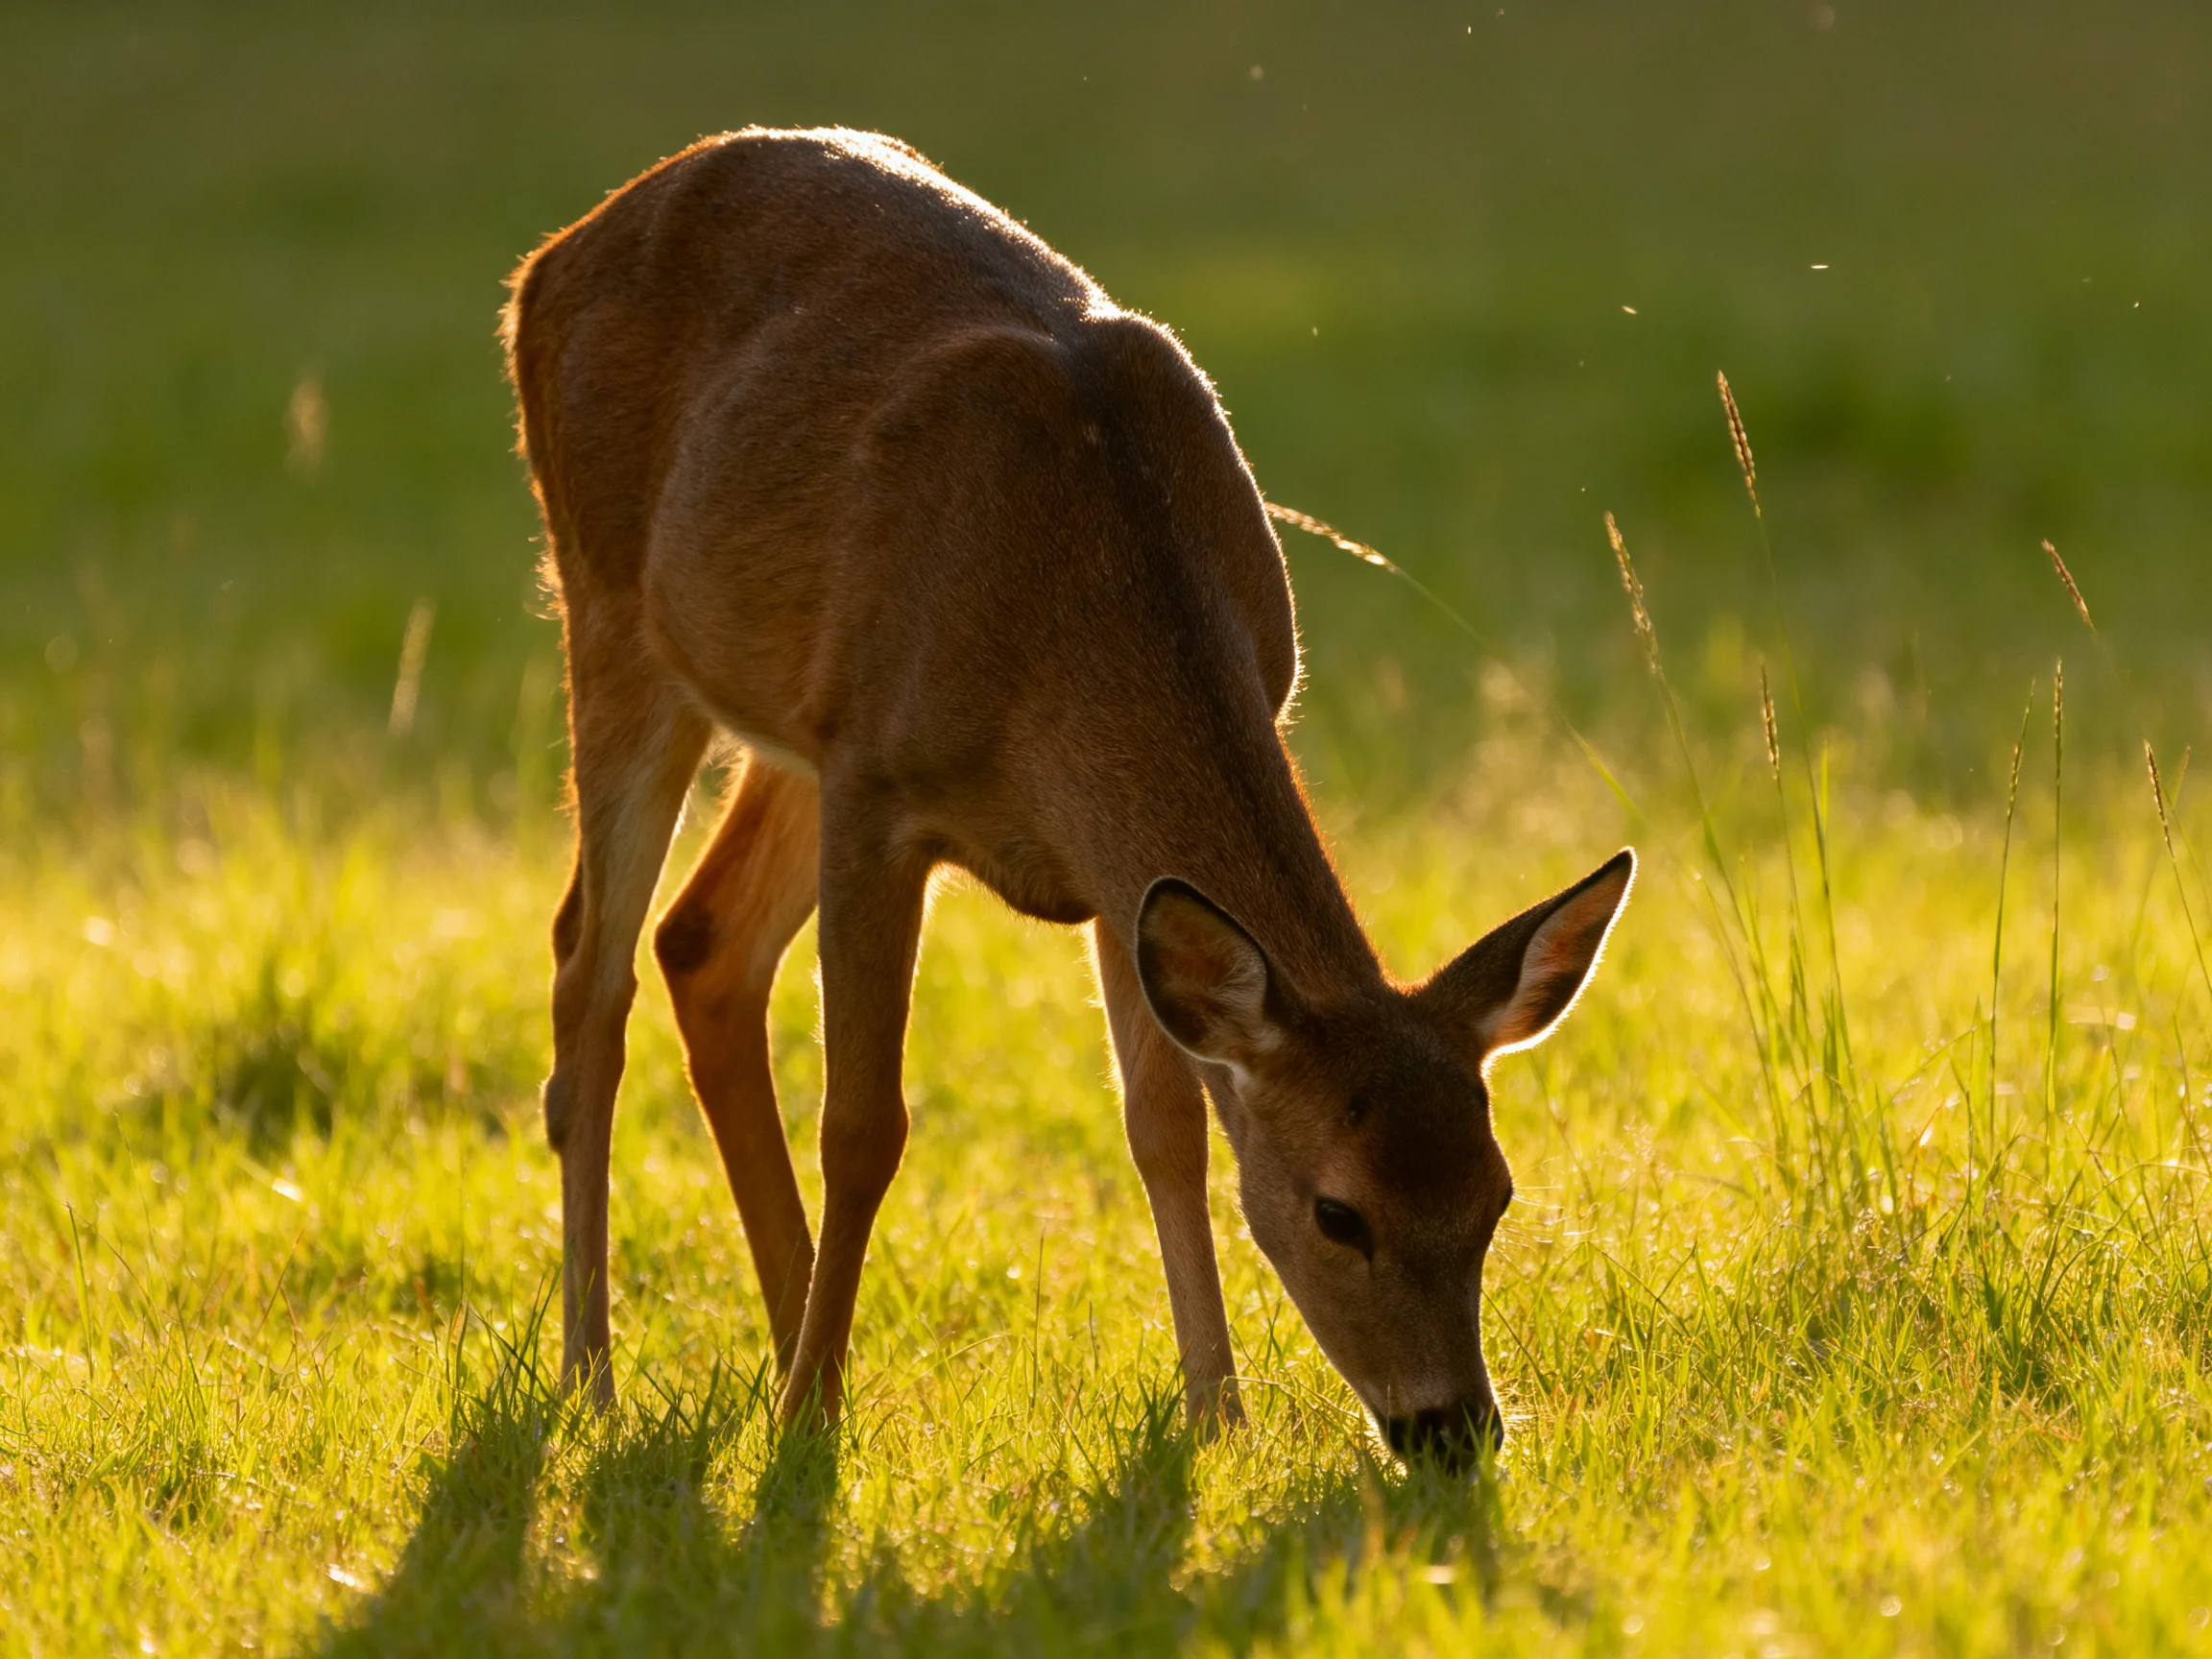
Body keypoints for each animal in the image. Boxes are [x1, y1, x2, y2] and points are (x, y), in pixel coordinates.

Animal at [502, 126, 1633, 1471]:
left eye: (1497, 1194)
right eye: (1337, 1212)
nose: (1453, 1428)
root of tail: (542, 267)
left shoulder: (1107, 866)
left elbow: (1167, 1127)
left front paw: (1217, 1416)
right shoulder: (882, 786)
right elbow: (866, 1123)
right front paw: (813, 1433)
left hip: (787, 721)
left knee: (701, 942)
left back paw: (781, 1346)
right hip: (612, 610)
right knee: (589, 966)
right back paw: (601, 1379)